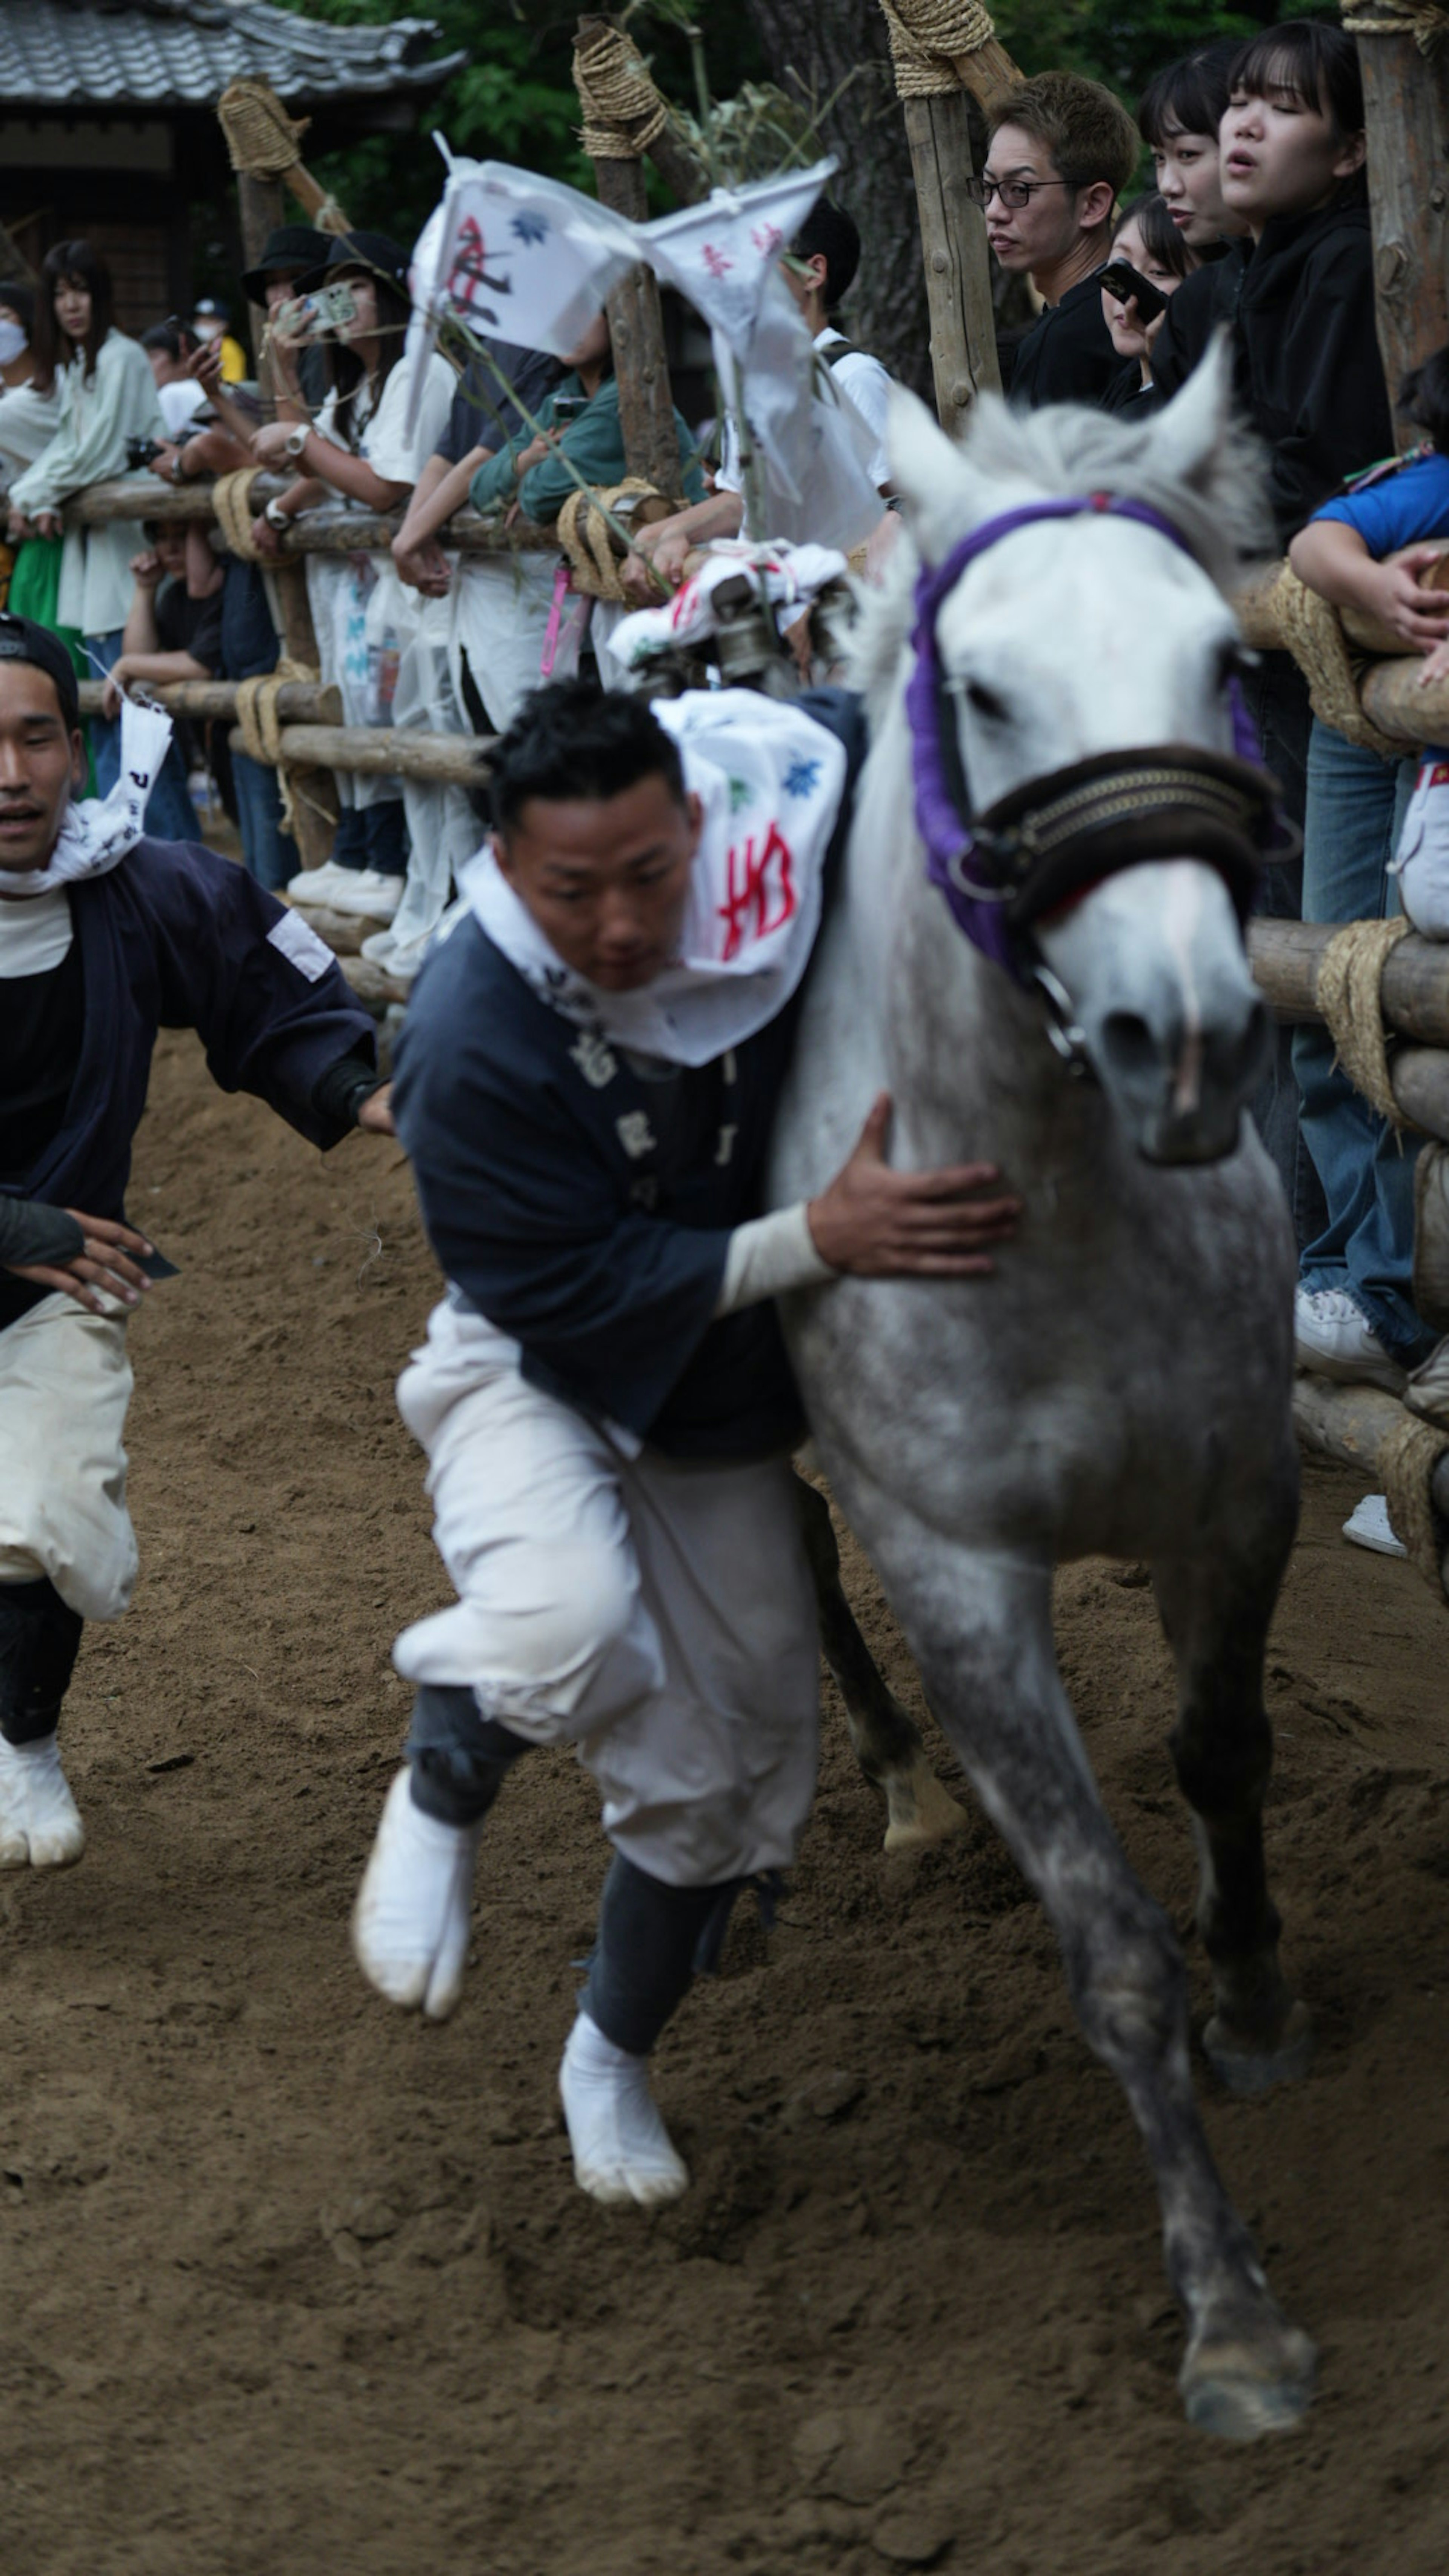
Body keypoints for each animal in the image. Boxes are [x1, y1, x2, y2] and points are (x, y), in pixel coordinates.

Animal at [773, 348, 1315, 2431]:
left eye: (1220, 660)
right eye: (986, 688)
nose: (1193, 1035)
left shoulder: (1237, 1494)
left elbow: (1220, 1755)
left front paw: (1257, 1998)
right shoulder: (960, 1577)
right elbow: (1106, 1941)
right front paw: (1227, 2310)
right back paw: (894, 1787)